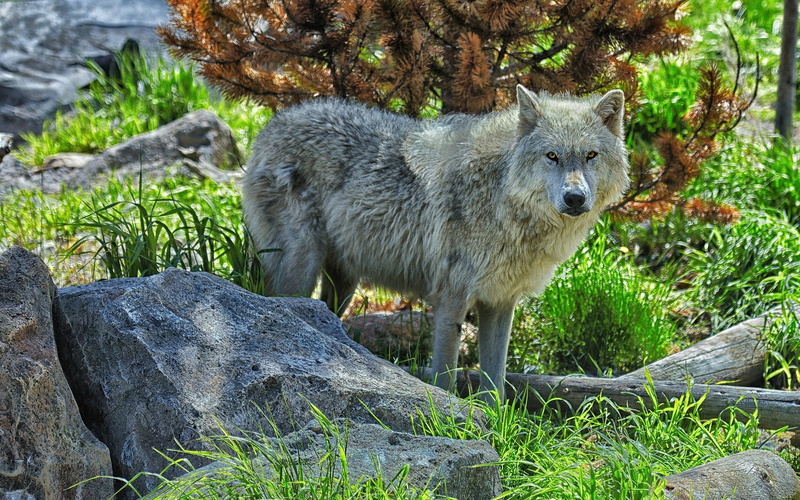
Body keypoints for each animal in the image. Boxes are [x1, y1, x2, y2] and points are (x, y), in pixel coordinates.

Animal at [242, 85, 630, 401]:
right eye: (552, 156)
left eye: (591, 155)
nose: (575, 198)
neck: (502, 198)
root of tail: (271, 126)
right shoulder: (451, 298)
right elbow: (445, 374)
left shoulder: (500, 302)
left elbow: (496, 384)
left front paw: (494, 425)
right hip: (301, 271)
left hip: (343, 286)